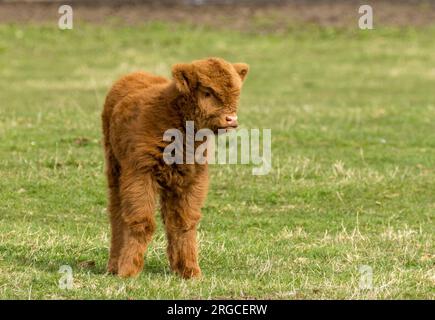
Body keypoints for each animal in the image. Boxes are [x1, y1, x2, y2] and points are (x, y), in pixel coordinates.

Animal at [102, 58, 250, 278]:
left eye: (235, 93)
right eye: (207, 91)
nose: (231, 119)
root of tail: (134, 75)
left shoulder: (193, 179)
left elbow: (184, 222)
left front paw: (190, 271)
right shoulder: (140, 174)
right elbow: (141, 221)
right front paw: (128, 270)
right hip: (114, 168)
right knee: (117, 212)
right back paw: (114, 265)